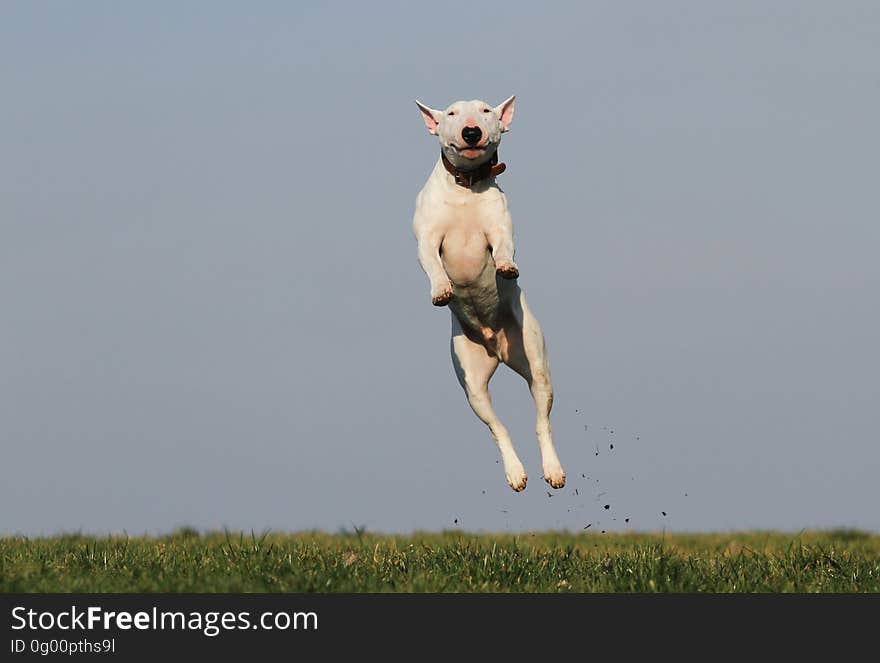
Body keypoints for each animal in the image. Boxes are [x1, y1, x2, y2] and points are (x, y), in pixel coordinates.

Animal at [410, 98, 564, 492]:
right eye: (451, 114)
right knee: (498, 427)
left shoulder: (499, 229)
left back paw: (552, 470)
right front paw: (441, 290)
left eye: (484, 111)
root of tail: (497, 346)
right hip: (473, 385)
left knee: (541, 421)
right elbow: (431, 263)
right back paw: (515, 472)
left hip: (535, 362)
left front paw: (506, 268)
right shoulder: (427, 238)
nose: (470, 132)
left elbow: (504, 247)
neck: (466, 190)